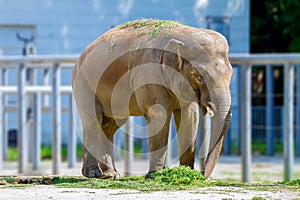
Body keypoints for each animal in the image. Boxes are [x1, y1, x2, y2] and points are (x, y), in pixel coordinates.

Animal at [72, 19, 232, 180]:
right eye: (199, 76)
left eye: (231, 74)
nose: (203, 174)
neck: (182, 33)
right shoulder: (149, 74)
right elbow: (159, 115)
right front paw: (155, 175)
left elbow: (190, 117)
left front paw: (186, 173)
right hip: (83, 84)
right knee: (93, 121)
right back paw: (94, 174)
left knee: (111, 125)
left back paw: (110, 175)